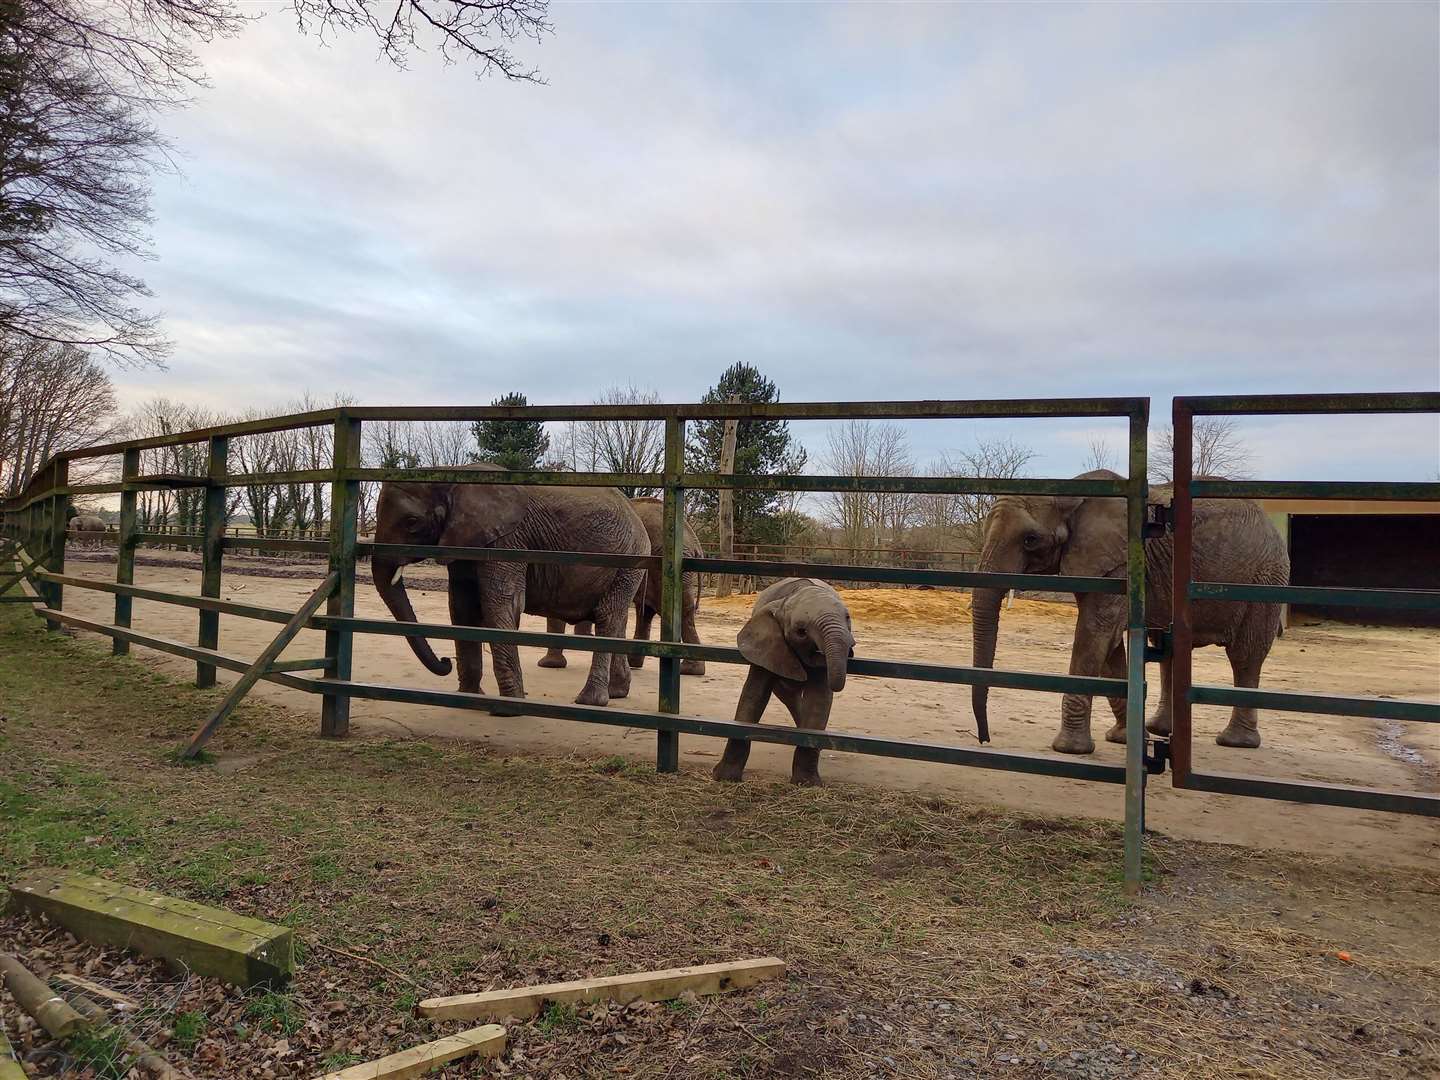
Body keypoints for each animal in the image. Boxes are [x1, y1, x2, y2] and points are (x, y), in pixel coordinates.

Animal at [371, 466, 648, 711]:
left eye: (411, 522)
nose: (445, 660)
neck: (450, 472)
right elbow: (462, 608)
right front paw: (469, 698)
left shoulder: (508, 541)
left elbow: (501, 605)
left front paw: (508, 708)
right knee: (616, 618)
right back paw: (617, 692)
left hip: (629, 561)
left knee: (607, 617)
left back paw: (590, 701)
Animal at [711, 578, 852, 789]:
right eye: (801, 632)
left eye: (848, 618)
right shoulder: (766, 645)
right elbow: (754, 694)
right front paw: (724, 778)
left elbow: (818, 700)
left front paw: (806, 784)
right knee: (788, 696)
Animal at [973, 469, 1290, 754]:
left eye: (1030, 539)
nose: (984, 740)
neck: (1069, 491)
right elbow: (1108, 644)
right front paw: (1124, 739)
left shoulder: (1119, 564)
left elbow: (1094, 633)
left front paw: (1069, 749)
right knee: (1170, 650)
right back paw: (1160, 729)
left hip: (1265, 580)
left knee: (1245, 656)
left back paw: (1236, 742)